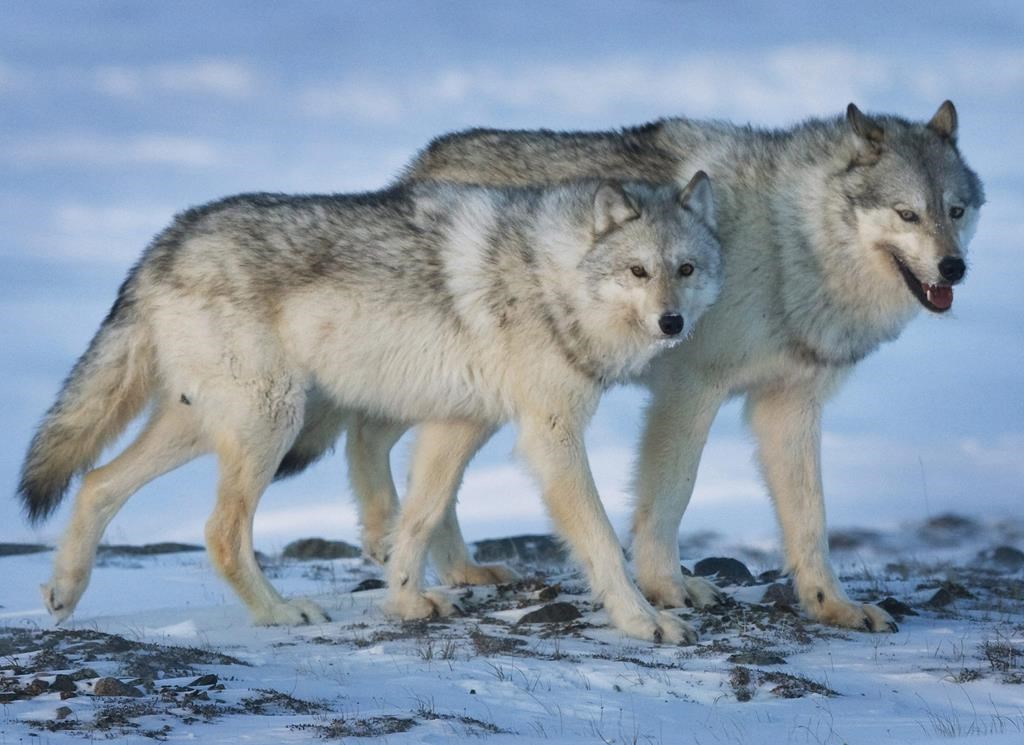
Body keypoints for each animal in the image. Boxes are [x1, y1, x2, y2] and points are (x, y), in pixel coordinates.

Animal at [19, 175, 723, 641]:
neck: (551, 278)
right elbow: (602, 541)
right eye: (637, 271)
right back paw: (278, 613)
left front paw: (406, 603)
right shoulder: (550, 437)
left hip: (209, 423)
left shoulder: (457, 425)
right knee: (219, 530)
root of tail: (163, 242)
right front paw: (644, 620)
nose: (672, 323)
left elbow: (417, 519)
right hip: (270, 421)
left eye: (686, 269)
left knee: (96, 482)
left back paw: (63, 593)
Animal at [302, 101, 983, 632]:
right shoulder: (691, 389)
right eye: (906, 213)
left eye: (955, 210)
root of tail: (419, 166)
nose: (953, 268)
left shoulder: (788, 404)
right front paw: (665, 591)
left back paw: (454, 567)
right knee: (368, 433)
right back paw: (386, 540)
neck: (789, 242)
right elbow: (671, 494)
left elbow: (810, 519)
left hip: (476, 395)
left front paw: (831, 605)